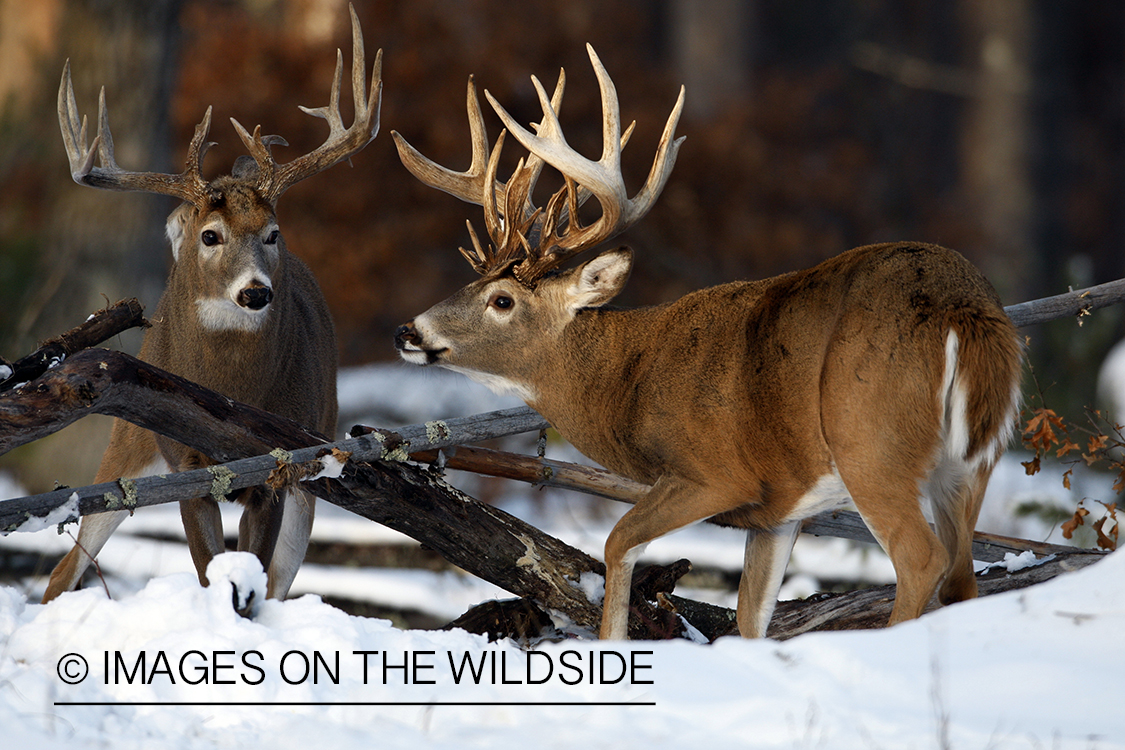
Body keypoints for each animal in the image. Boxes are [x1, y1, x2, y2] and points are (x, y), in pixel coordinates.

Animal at [41, 5, 382, 607]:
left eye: (273, 233)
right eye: (210, 235)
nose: (255, 291)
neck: (232, 386)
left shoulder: (280, 471)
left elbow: (252, 582)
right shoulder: (187, 470)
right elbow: (209, 574)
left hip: (316, 463)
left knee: (279, 586)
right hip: (126, 445)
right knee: (63, 571)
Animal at [391, 46, 1026, 643]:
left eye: (501, 301)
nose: (408, 331)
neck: (627, 380)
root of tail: (963, 311)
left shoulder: (716, 473)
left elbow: (618, 542)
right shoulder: (779, 511)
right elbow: (750, 616)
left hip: (871, 440)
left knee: (921, 559)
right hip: (971, 463)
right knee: (963, 575)